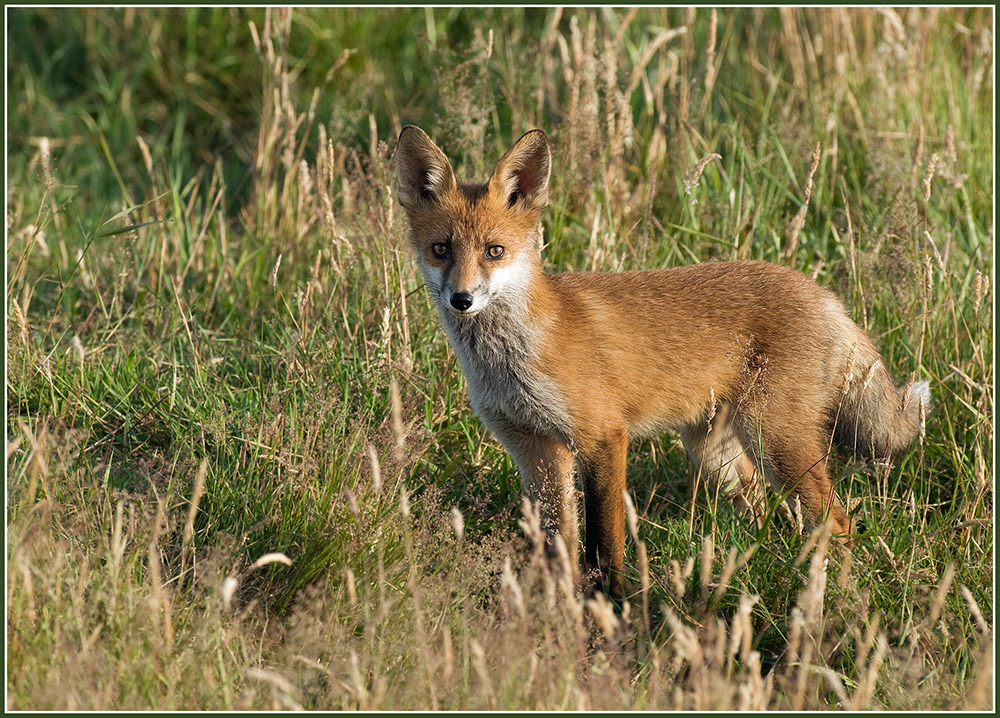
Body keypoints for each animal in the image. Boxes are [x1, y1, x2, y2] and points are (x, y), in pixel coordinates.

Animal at [392, 126, 928, 600]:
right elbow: (558, 547)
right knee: (762, 507)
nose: (462, 299)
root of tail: (823, 294)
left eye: (494, 251)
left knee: (837, 523)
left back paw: (835, 603)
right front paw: (558, 612)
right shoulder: (536, 450)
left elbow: (605, 546)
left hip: (777, 443)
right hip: (716, 453)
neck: (510, 363)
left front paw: (613, 608)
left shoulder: (603, 438)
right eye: (441, 250)